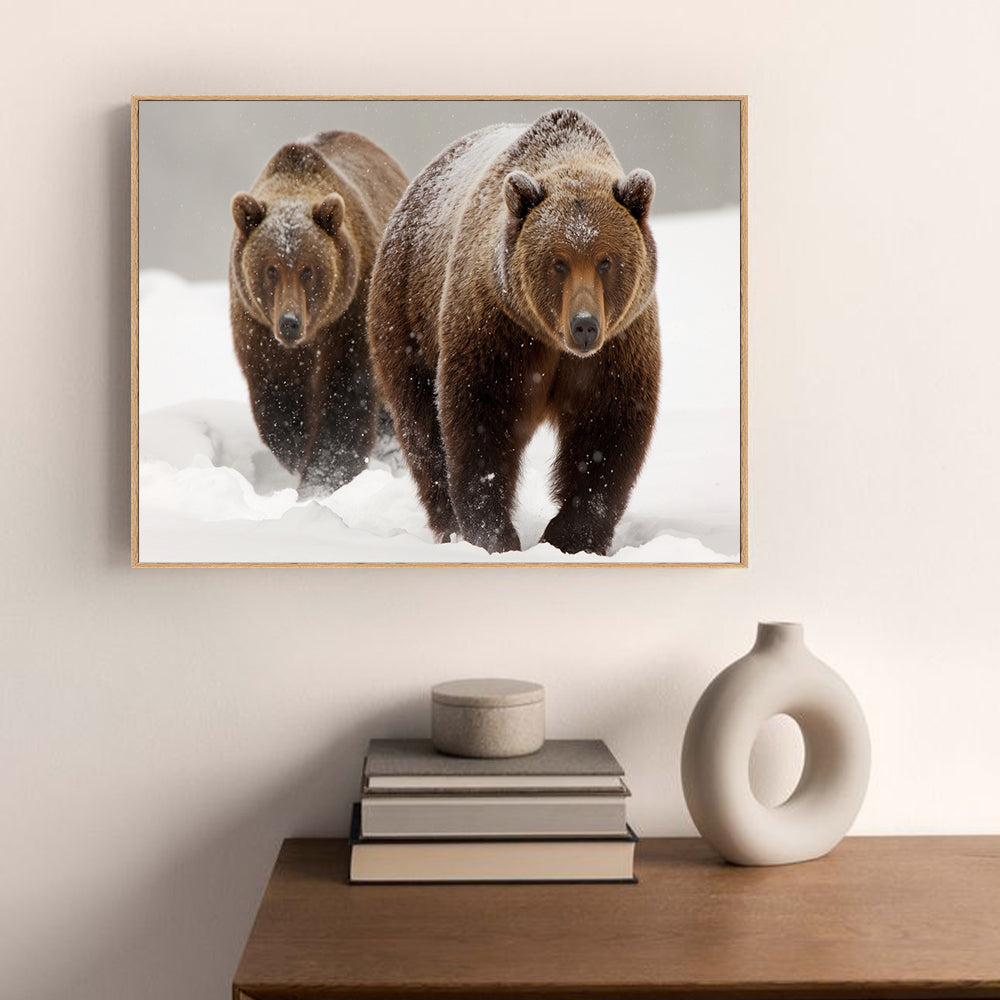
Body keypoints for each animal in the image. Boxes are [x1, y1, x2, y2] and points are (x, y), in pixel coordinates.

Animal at [229, 131, 407, 497]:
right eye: (271, 269)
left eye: (308, 270)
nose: (290, 323)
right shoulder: (256, 326)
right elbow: (279, 397)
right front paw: (299, 453)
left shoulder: (349, 315)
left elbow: (346, 395)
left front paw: (324, 476)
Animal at [367, 109, 660, 555]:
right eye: (558, 262)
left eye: (606, 261)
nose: (584, 325)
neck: (554, 341)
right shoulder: (501, 329)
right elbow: (482, 419)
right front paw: (494, 534)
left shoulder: (620, 343)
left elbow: (606, 430)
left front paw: (571, 537)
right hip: (406, 316)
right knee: (421, 428)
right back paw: (447, 523)